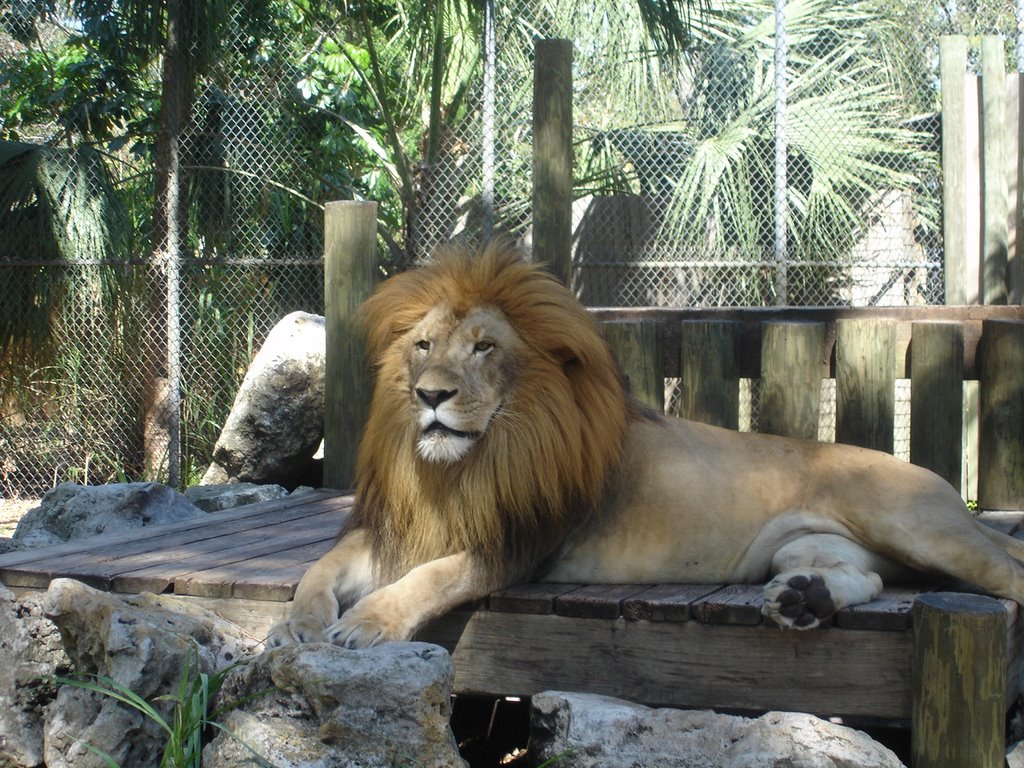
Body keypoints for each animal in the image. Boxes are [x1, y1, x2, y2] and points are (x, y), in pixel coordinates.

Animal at [268, 241, 1024, 651]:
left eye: (484, 347)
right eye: (423, 346)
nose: (430, 395)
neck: (462, 469)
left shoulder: (517, 542)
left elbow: (432, 577)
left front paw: (370, 621)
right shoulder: (391, 528)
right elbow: (317, 570)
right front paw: (293, 627)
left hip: (917, 526)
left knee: (1006, 574)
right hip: (807, 546)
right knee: (866, 579)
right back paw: (803, 601)